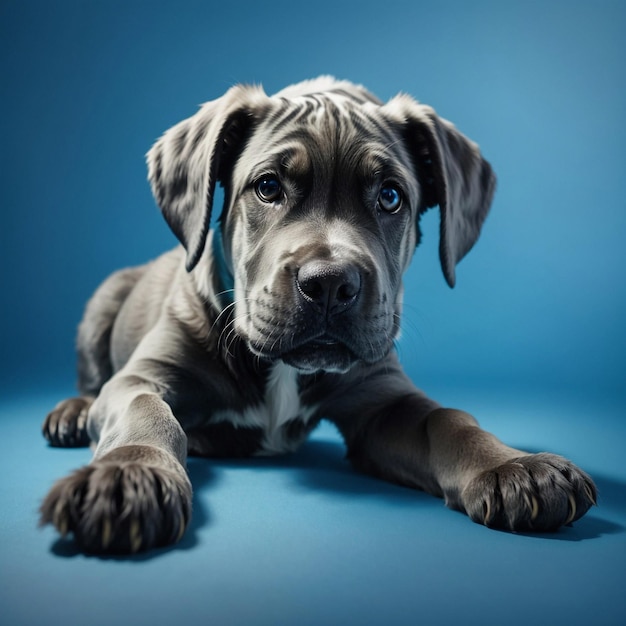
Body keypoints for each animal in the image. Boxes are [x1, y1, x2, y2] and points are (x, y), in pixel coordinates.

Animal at [40, 77, 596, 552]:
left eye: (390, 196)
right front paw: (129, 476)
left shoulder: (382, 400)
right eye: (267, 187)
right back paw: (74, 413)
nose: (330, 284)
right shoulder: (145, 376)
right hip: (103, 301)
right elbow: (145, 413)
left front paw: (515, 465)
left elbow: (448, 419)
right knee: (93, 380)